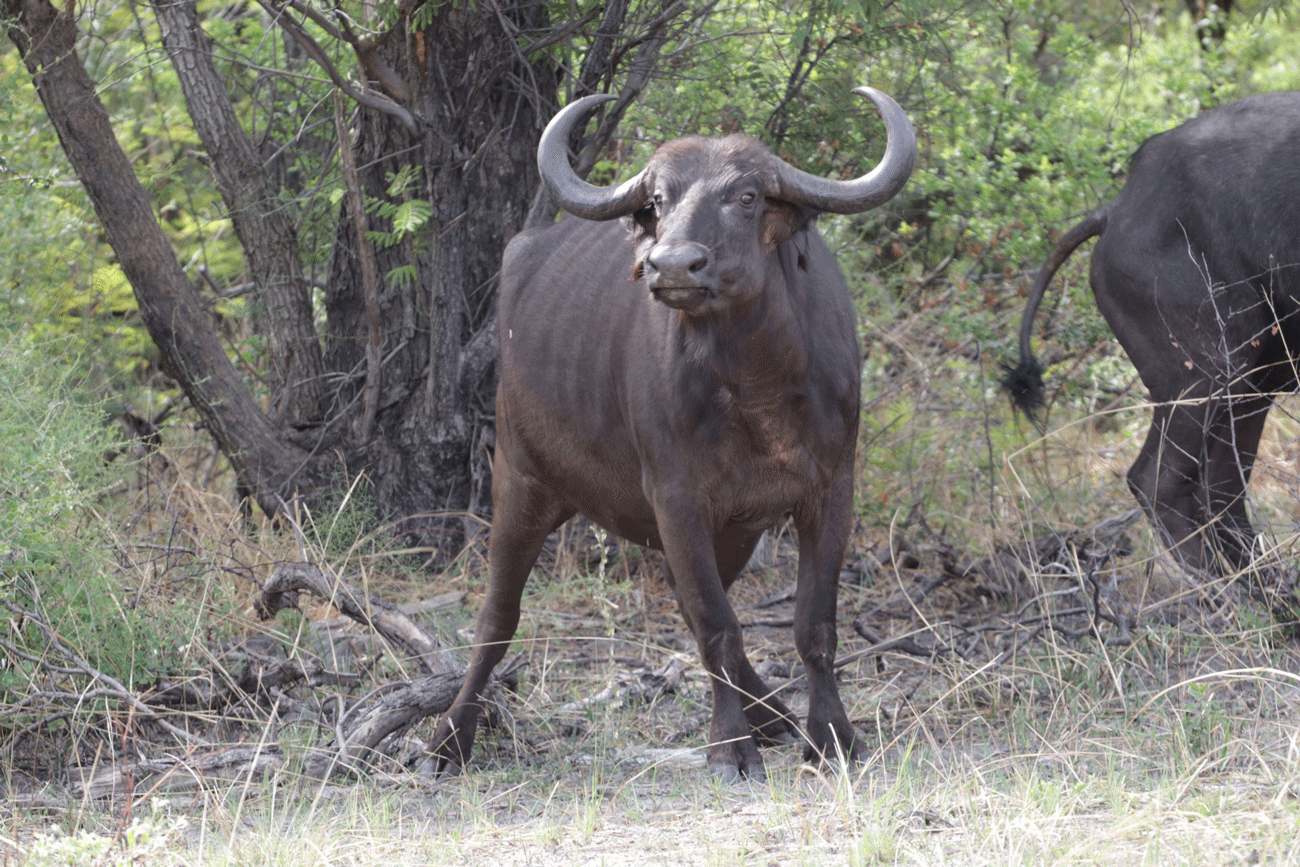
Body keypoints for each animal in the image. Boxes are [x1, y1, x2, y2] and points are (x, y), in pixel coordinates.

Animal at [431, 88, 915, 781]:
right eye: (659, 199)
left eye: (747, 195)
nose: (672, 266)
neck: (757, 385)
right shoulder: (677, 499)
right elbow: (717, 625)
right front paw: (731, 746)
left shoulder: (830, 491)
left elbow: (812, 626)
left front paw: (830, 735)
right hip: (518, 479)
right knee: (498, 616)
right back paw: (450, 738)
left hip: (733, 531)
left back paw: (775, 715)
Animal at [1004, 92, 1300, 579]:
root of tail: (1116, 211)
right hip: (1207, 372)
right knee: (1158, 483)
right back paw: (1220, 592)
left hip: (1254, 381)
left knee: (1221, 492)